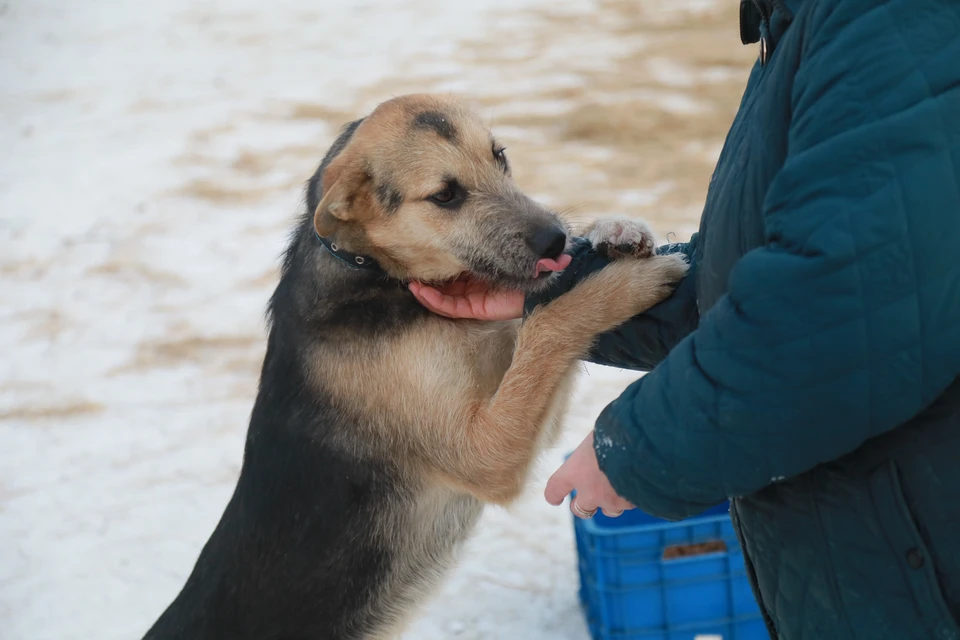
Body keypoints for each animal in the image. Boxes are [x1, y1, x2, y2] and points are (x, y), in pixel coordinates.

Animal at [142, 92, 688, 636]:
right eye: (445, 196)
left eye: (500, 156)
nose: (555, 239)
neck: (378, 276)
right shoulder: (486, 450)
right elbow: (550, 325)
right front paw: (621, 285)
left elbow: (536, 329)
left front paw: (613, 230)